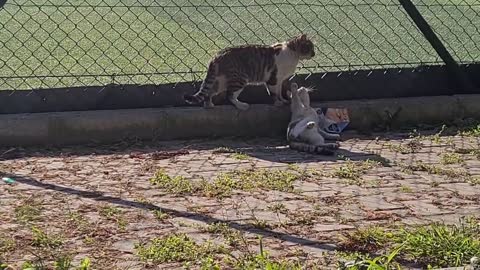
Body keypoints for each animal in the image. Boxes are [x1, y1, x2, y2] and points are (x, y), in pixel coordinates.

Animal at [183, 33, 316, 109]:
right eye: (310, 47)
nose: (314, 54)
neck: (293, 54)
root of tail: (217, 55)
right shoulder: (274, 78)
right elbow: (274, 93)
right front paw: (278, 103)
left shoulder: (280, 80)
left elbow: (279, 92)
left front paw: (283, 100)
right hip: (240, 79)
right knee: (229, 95)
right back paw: (241, 106)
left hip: (221, 81)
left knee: (209, 92)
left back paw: (209, 105)